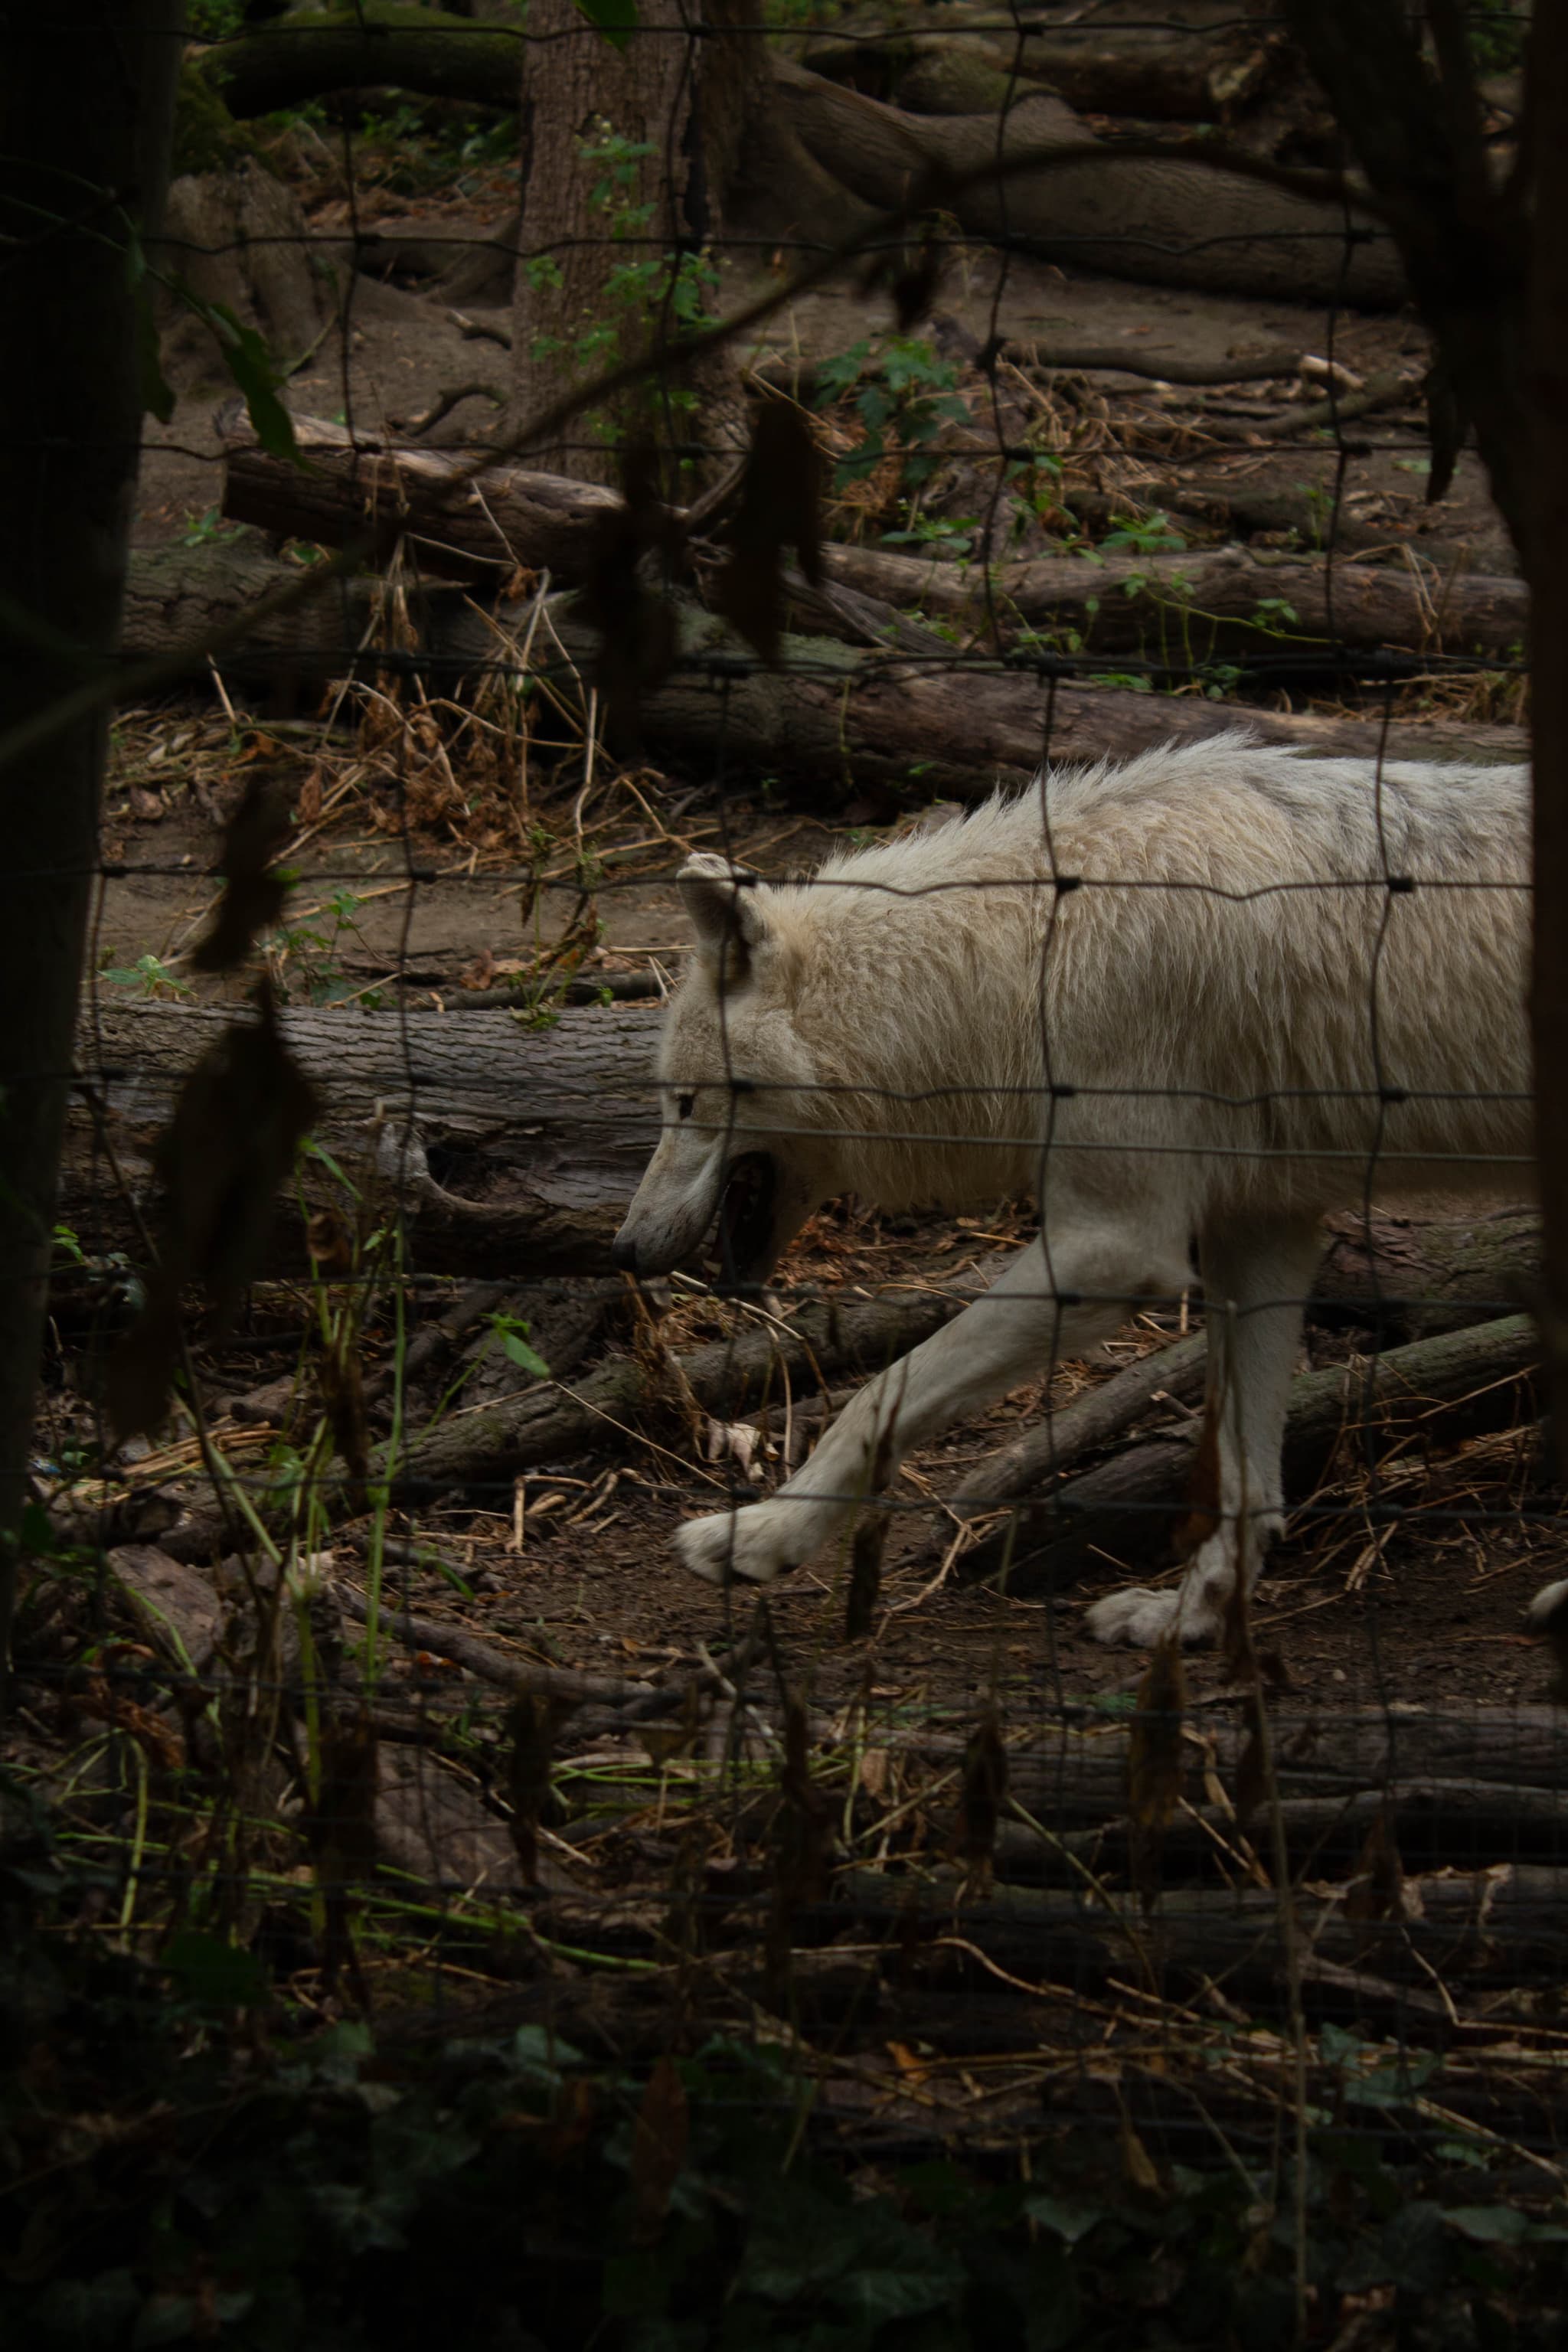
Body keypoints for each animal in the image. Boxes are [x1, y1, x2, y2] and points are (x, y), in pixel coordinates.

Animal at [612, 735, 1533, 1646]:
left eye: (684, 1103)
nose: (622, 1249)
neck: (1013, 959)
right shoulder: (1260, 1233)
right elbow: (1244, 1476)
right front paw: (1188, 1619)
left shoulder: (1115, 1248)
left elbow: (880, 1392)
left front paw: (763, 1535)